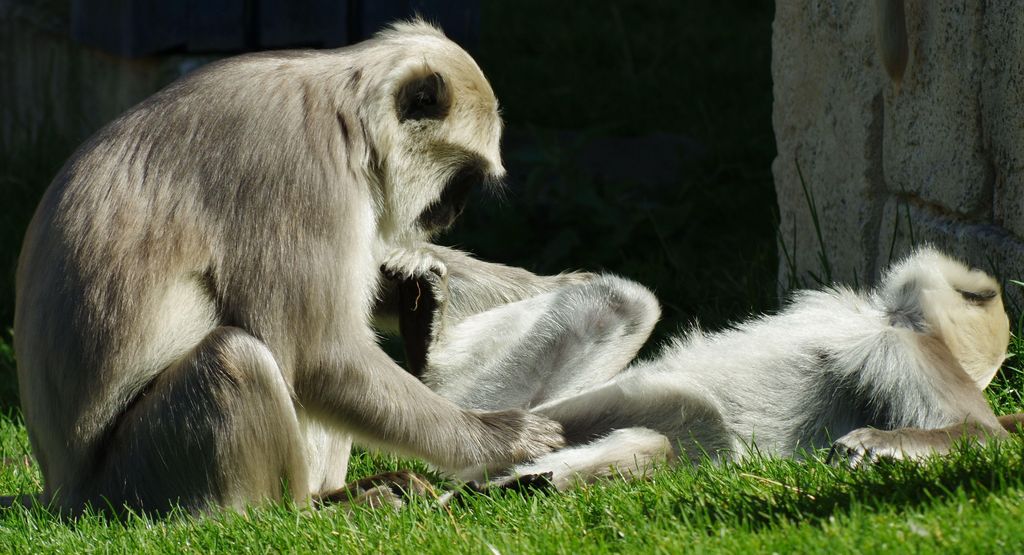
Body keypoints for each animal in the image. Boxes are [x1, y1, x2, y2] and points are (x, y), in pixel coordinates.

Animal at [382, 245, 1024, 489]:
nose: (979, 289)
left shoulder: (908, 351)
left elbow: (985, 436)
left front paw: (876, 444)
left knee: (662, 433)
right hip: (515, 411)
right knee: (626, 300)